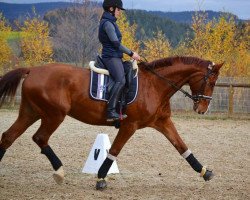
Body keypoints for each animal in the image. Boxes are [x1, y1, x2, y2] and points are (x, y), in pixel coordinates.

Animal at [0, 55, 223, 189]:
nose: (202, 109)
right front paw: (100, 177)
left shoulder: (163, 122)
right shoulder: (129, 125)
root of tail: (32, 70)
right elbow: (114, 150)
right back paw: (60, 172)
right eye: (212, 82)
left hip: (30, 113)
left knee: (8, 137)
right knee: (40, 138)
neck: (154, 85)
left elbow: (182, 147)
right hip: (54, 115)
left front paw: (205, 172)